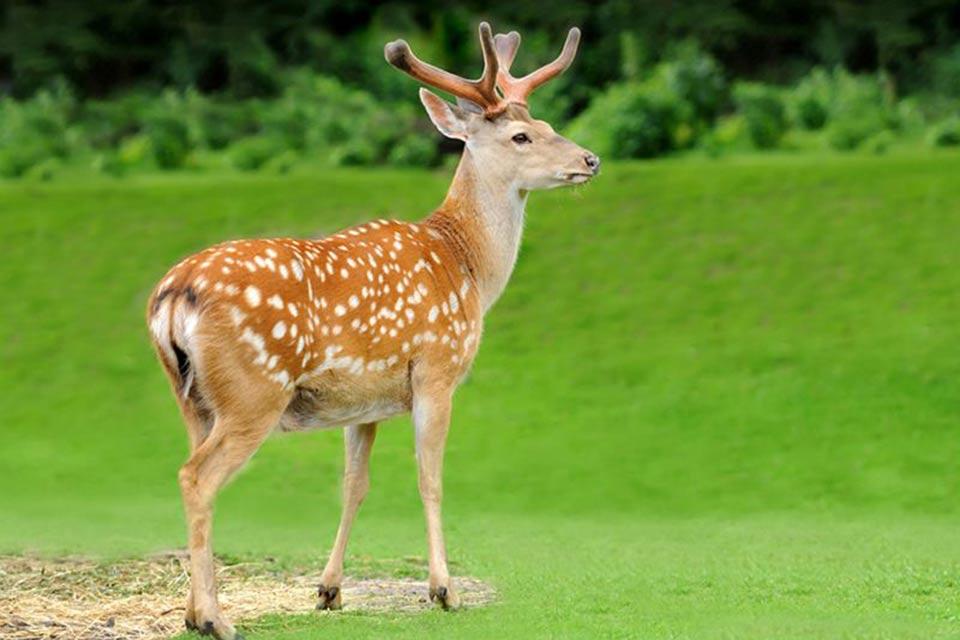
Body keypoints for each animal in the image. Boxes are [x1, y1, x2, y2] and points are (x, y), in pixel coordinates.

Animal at [148, 22, 600, 636]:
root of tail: (174, 296)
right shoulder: (436, 368)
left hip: (192, 398)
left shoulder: (364, 400)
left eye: (550, 125)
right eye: (522, 137)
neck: (467, 265)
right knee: (196, 477)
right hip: (252, 391)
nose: (590, 158)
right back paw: (215, 619)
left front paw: (330, 590)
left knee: (194, 472)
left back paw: (194, 613)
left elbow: (353, 486)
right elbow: (430, 478)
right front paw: (443, 590)